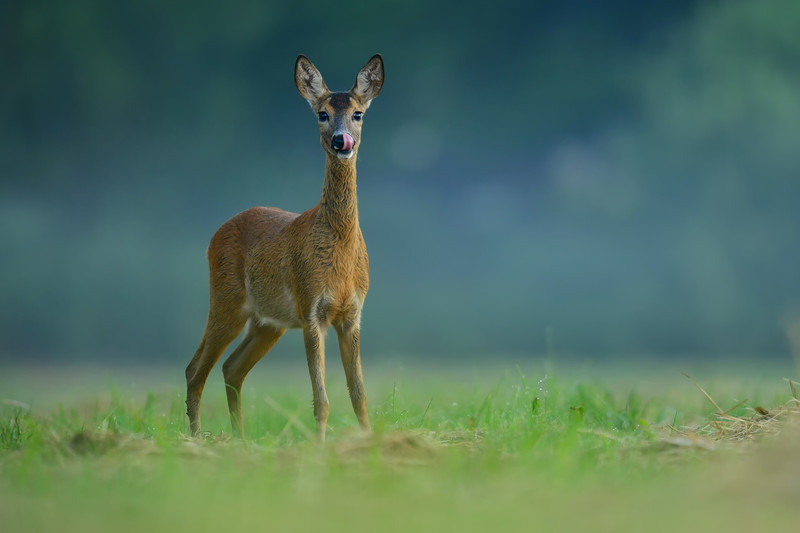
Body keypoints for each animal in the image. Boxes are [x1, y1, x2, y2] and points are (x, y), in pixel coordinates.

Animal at [188, 54, 388, 440]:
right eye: (322, 114)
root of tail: (216, 233)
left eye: (358, 114)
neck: (340, 254)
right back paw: (196, 439)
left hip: (269, 322)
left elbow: (359, 396)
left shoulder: (353, 314)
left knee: (231, 367)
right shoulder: (311, 308)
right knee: (196, 368)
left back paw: (239, 438)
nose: (341, 141)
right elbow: (322, 401)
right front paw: (321, 447)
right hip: (226, 300)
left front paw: (370, 442)